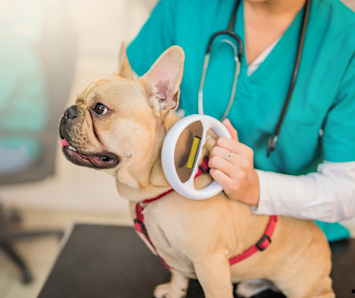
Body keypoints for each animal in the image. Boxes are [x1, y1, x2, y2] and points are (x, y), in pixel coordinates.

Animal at [59, 42, 336, 298]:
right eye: (76, 100)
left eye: (100, 109)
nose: (67, 112)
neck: (152, 189)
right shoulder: (175, 259)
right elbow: (178, 275)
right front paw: (175, 291)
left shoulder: (210, 265)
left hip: (304, 285)